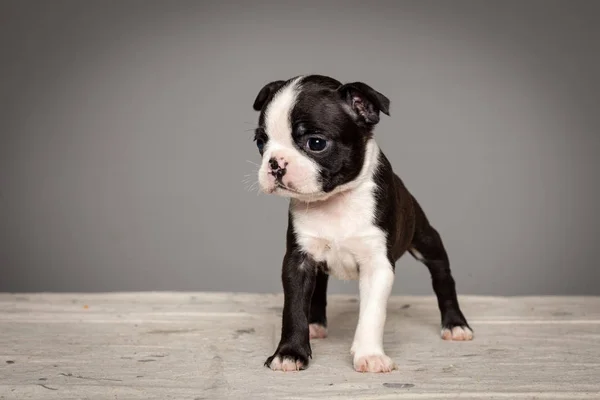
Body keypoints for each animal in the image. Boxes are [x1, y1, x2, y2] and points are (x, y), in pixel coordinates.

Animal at [250, 76, 474, 376]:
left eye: (316, 143)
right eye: (260, 142)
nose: (275, 163)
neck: (335, 201)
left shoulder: (377, 265)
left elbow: (372, 314)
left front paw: (370, 355)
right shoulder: (299, 261)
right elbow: (294, 308)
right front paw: (289, 353)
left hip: (426, 239)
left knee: (442, 275)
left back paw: (455, 324)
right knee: (319, 287)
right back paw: (314, 324)